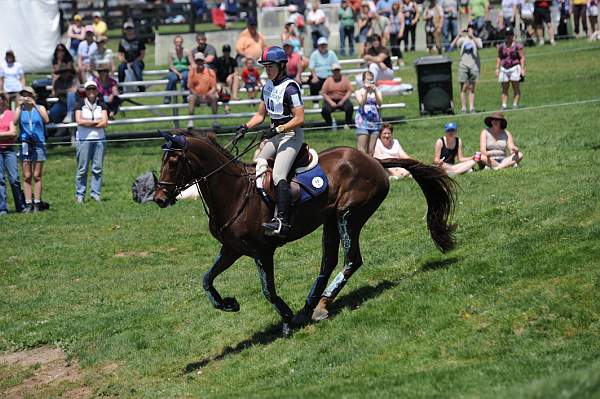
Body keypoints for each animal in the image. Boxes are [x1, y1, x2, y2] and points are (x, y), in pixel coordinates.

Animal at [155, 130, 454, 334]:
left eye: (174, 161)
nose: (159, 197)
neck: (235, 192)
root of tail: (373, 161)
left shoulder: (262, 251)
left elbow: (268, 291)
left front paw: (286, 319)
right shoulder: (231, 249)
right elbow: (207, 280)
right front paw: (228, 304)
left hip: (349, 215)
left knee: (351, 260)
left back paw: (319, 307)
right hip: (331, 221)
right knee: (328, 262)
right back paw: (310, 307)